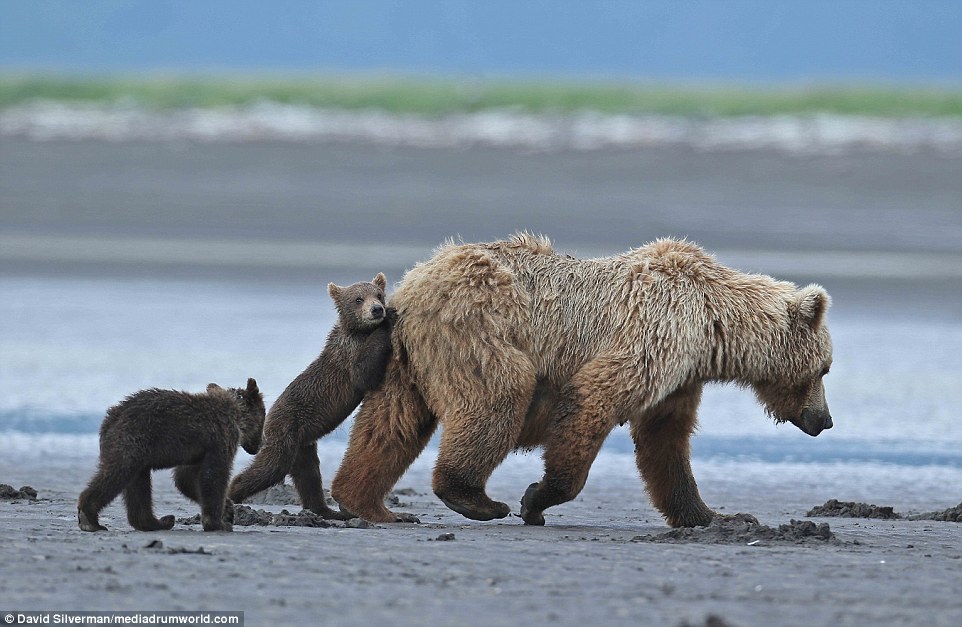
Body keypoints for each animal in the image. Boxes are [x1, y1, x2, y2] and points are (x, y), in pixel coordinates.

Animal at [326, 236, 828, 528]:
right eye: (825, 368)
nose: (824, 420)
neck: (712, 325)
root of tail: (416, 280)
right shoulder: (655, 332)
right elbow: (592, 399)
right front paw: (536, 499)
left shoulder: (679, 375)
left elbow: (666, 442)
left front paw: (718, 515)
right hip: (478, 326)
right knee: (498, 394)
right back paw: (476, 498)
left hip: (405, 359)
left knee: (390, 424)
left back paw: (365, 502)